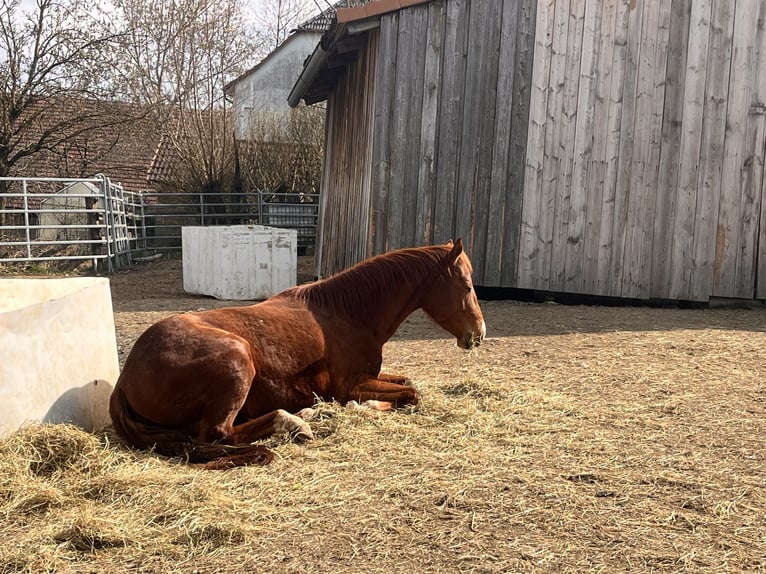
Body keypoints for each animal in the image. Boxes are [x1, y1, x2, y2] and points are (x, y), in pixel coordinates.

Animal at [109, 238, 486, 469]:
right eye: (467, 286)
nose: (479, 334)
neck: (347, 313)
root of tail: (124, 379)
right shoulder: (349, 386)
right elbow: (410, 394)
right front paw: (359, 407)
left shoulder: (370, 377)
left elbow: (405, 383)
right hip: (237, 360)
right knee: (220, 434)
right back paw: (294, 423)